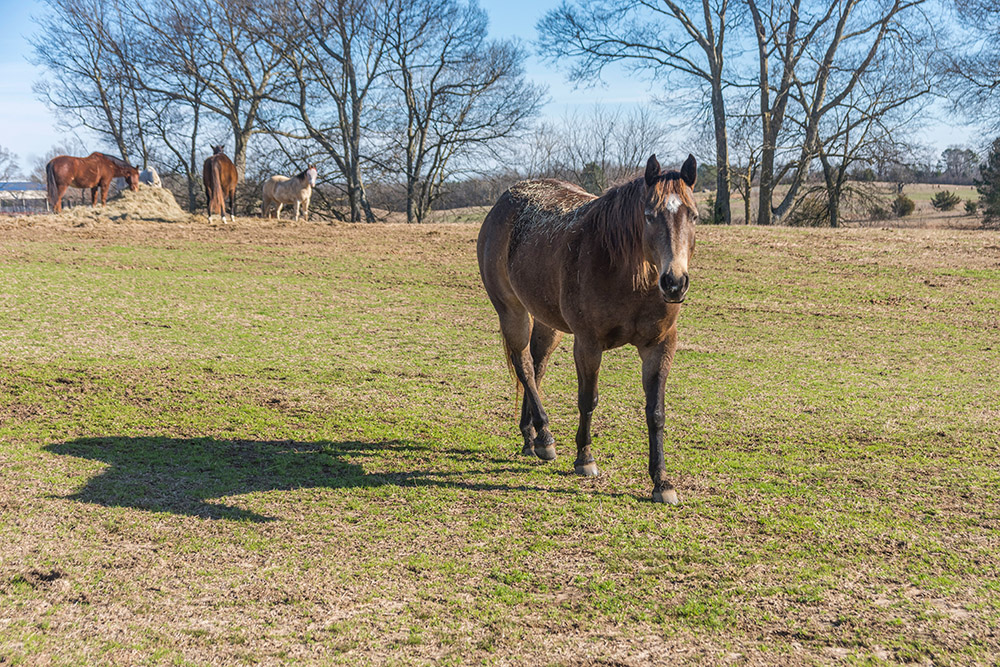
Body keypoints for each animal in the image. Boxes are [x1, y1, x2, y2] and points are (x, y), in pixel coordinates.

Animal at [477, 154, 698, 505]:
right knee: (524, 367)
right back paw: (546, 437)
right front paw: (585, 458)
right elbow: (588, 399)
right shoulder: (588, 345)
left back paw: (531, 437)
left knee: (536, 369)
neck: (629, 275)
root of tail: (502, 203)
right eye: (649, 216)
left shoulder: (661, 346)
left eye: (693, 215)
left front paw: (662, 481)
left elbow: (656, 412)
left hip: (547, 322)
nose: (674, 282)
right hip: (512, 312)